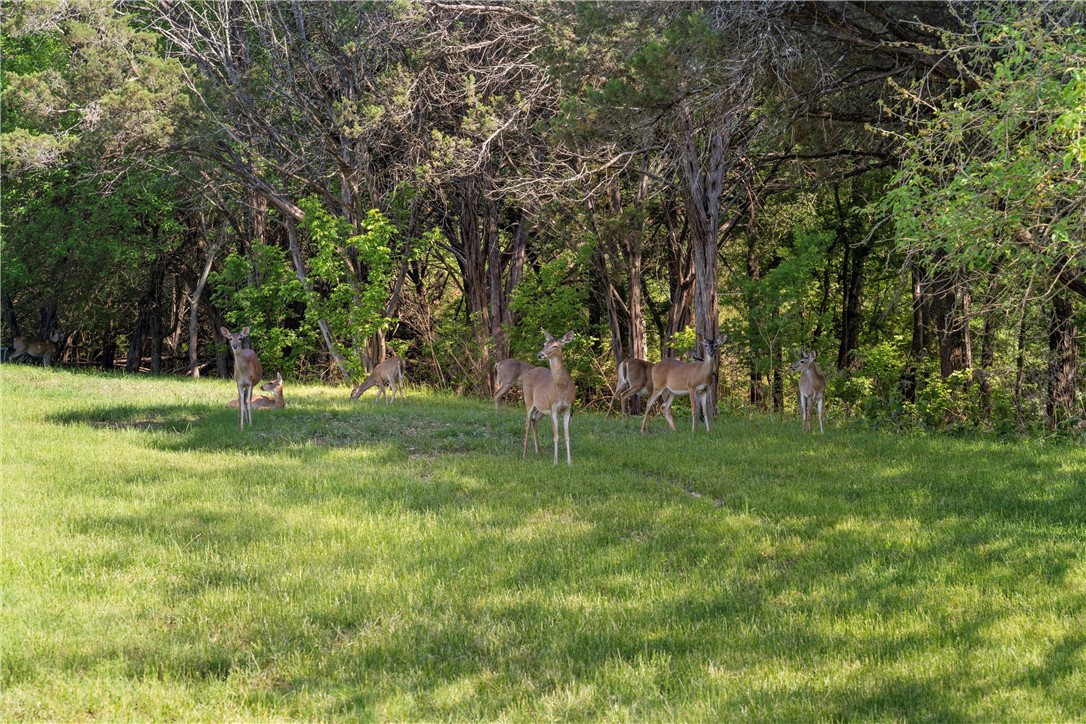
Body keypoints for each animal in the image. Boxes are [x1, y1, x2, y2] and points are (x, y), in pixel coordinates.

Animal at [523, 327, 577, 464]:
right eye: (544, 344)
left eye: (555, 346)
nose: (540, 354)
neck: (561, 389)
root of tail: (530, 371)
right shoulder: (553, 408)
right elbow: (556, 435)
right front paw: (555, 462)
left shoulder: (568, 408)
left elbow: (567, 435)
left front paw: (569, 462)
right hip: (528, 400)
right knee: (527, 422)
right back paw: (525, 454)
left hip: (542, 408)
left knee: (534, 419)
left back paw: (538, 451)